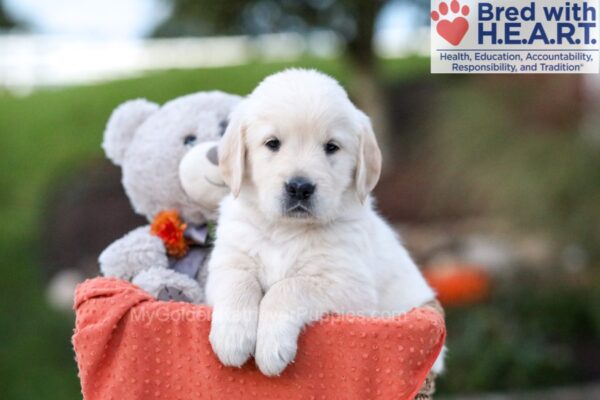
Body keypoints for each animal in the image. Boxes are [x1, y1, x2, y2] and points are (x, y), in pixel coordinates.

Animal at [207, 67, 446, 376]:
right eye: (272, 143)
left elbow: (288, 287)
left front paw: (271, 348)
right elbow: (237, 281)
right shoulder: (228, 261)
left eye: (331, 147)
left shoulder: (350, 286)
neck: (285, 229)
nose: (299, 187)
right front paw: (232, 338)